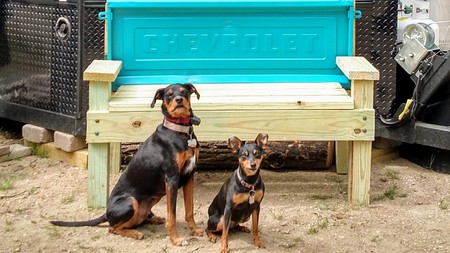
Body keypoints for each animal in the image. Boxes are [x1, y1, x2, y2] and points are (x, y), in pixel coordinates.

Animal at [50, 83, 203, 245]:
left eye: (184, 92)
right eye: (169, 94)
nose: (179, 100)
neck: (181, 132)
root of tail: (106, 213)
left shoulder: (189, 175)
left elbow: (189, 210)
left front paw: (195, 230)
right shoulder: (172, 178)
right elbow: (172, 215)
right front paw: (176, 239)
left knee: (136, 220)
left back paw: (154, 218)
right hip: (131, 202)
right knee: (112, 228)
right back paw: (136, 233)